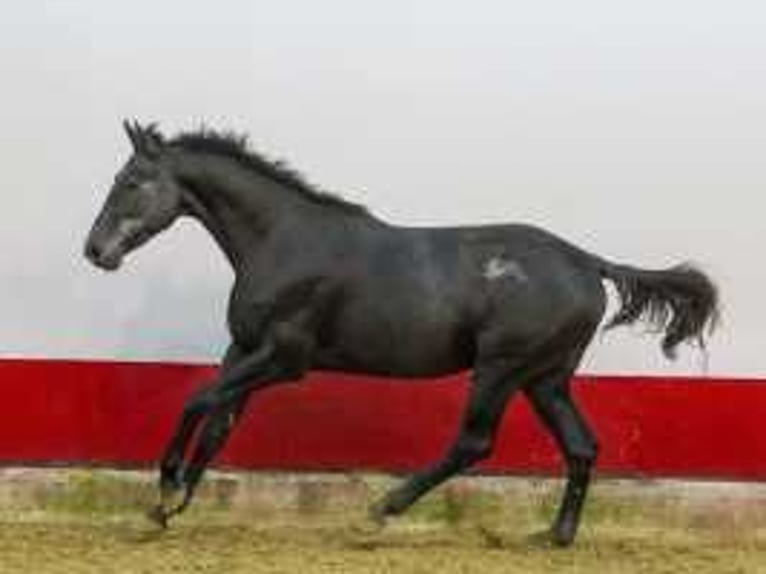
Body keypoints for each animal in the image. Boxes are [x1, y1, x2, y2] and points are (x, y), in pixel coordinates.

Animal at [84, 121, 720, 548]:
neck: (283, 240)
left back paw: (380, 509)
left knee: (474, 443)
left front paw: (167, 487)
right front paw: (170, 505)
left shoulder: (285, 356)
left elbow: (199, 400)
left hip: (502, 367)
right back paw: (554, 535)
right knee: (581, 446)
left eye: (133, 181)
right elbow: (220, 420)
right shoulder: (243, 348)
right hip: (547, 378)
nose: (95, 251)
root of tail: (589, 262)